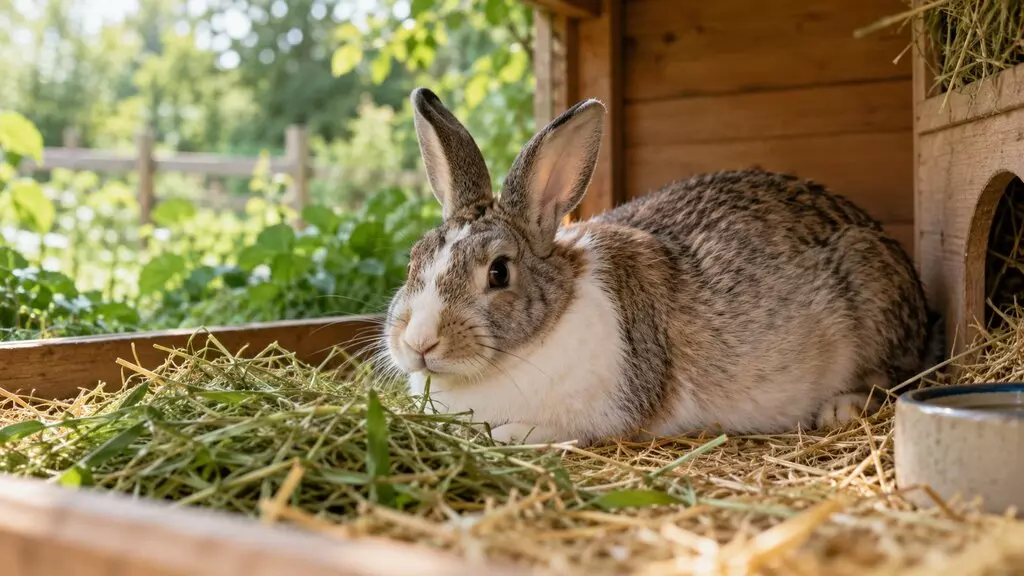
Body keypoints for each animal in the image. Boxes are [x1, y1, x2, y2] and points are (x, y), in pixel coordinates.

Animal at [382, 87, 942, 447]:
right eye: (414, 257)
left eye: (498, 272)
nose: (419, 343)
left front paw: (507, 435)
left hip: (874, 300)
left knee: (893, 377)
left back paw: (840, 408)